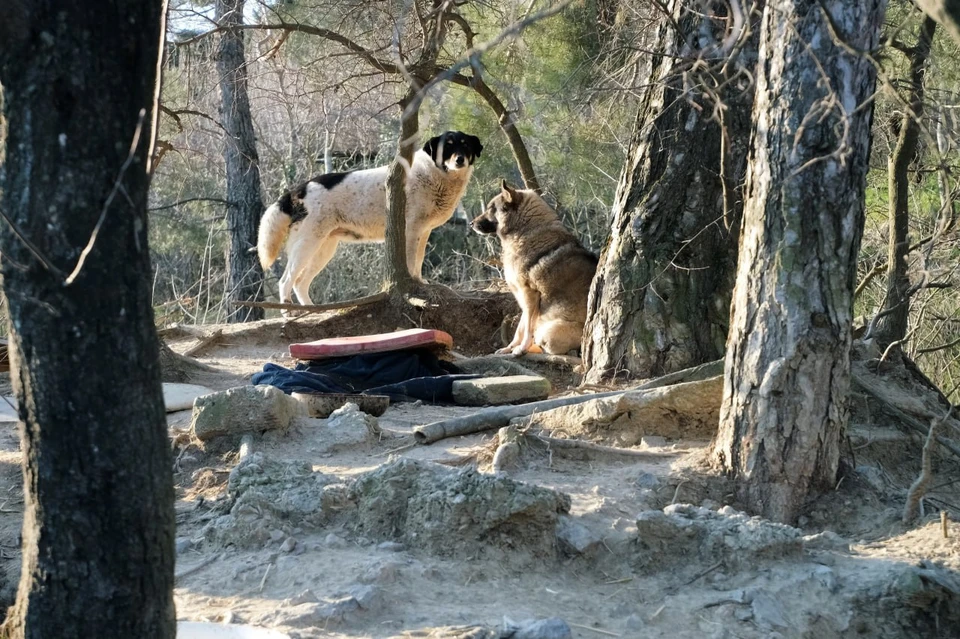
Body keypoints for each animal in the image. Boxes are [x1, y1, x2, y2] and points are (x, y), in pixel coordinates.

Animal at [256, 131, 484, 306]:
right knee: (286, 281)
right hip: (308, 244)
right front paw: (413, 284)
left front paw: (420, 282)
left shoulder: (424, 231)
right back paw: (288, 312)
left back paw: (310, 311)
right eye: (448, 146)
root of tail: (297, 190)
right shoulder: (411, 230)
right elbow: (411, 262)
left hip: (323, 248)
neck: (436, 174)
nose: (460, 159)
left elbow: (418, 261)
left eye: (465, 145)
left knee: (300, 283)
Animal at [470, 182, 596, 358]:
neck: (525, 230)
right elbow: (520, 329)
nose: (471, 223)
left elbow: (527, 328)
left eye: (491, 208)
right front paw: (510, 348)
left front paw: (520, 349)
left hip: (550, 332)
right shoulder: (524, 299)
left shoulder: (529, 295)